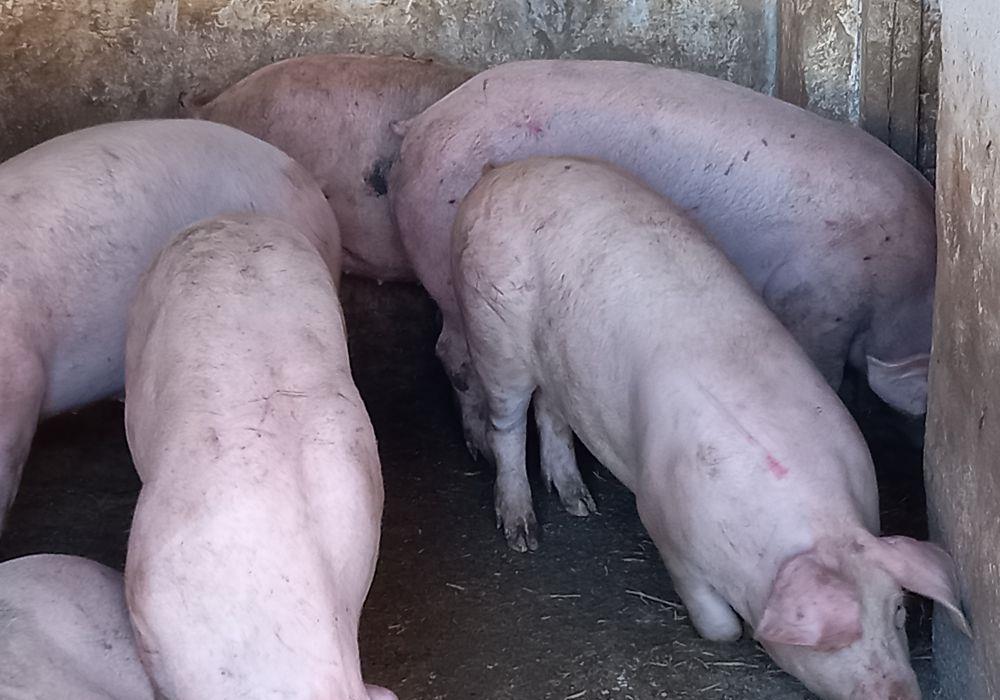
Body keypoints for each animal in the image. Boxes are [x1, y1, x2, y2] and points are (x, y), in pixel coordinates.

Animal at [389, 59, 935, 459]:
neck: (906, 291)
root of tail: (421, 124)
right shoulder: (817, 305)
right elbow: (828, 379)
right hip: (448, 268)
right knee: (453, 353)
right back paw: (480, 451)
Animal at [451, 157, 967, 699]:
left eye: (898, 612)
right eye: (828, 641)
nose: (900, 693)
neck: (821, 525)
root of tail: (500, 172)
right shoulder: (664, 525)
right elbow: (718, 624)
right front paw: (731, 633)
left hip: (559, 363)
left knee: (552, 412)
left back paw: (579, 504)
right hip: (493, 334)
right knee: (507, 425)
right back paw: (522, 533)